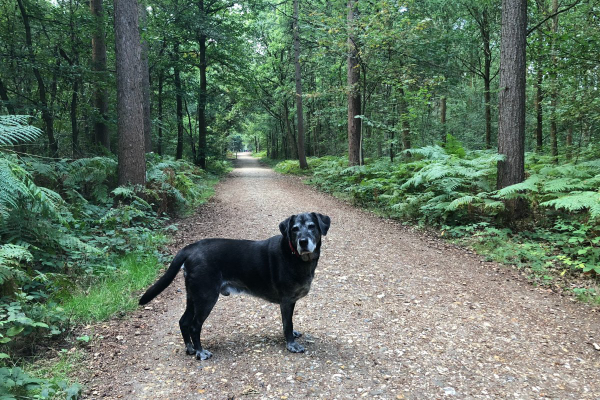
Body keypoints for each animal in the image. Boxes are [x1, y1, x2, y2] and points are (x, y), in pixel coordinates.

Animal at [139, 212, 330, 360]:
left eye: (312, 226)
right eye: (294, 229)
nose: (303, 242)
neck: (295, 256)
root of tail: (190, 248)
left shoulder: (291, 301)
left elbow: (289, 322)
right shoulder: (286, 301)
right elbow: (287, 324)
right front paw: (291, 344)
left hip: (193, 296)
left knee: (183, 321)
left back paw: (191, 348)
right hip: (206, 296)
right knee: (194, 325)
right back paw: (200, 352)